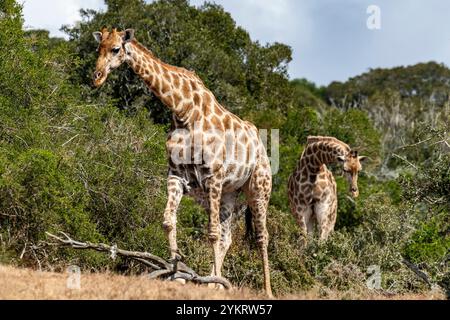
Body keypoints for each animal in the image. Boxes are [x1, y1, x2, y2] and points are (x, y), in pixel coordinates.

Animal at [92, 28, 274, 296]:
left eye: (115, 49)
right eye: (99, 48)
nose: (97, 77)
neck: (183, 111)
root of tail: (261, 146)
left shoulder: (213, 176)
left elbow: (211, 233)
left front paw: (211, 280)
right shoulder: (176, 175)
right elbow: (169, 221)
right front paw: (176, 274)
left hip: (258, 189)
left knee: (261, 236)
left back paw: (265, 290)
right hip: (229, 193)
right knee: (227, 235)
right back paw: (215, 282)